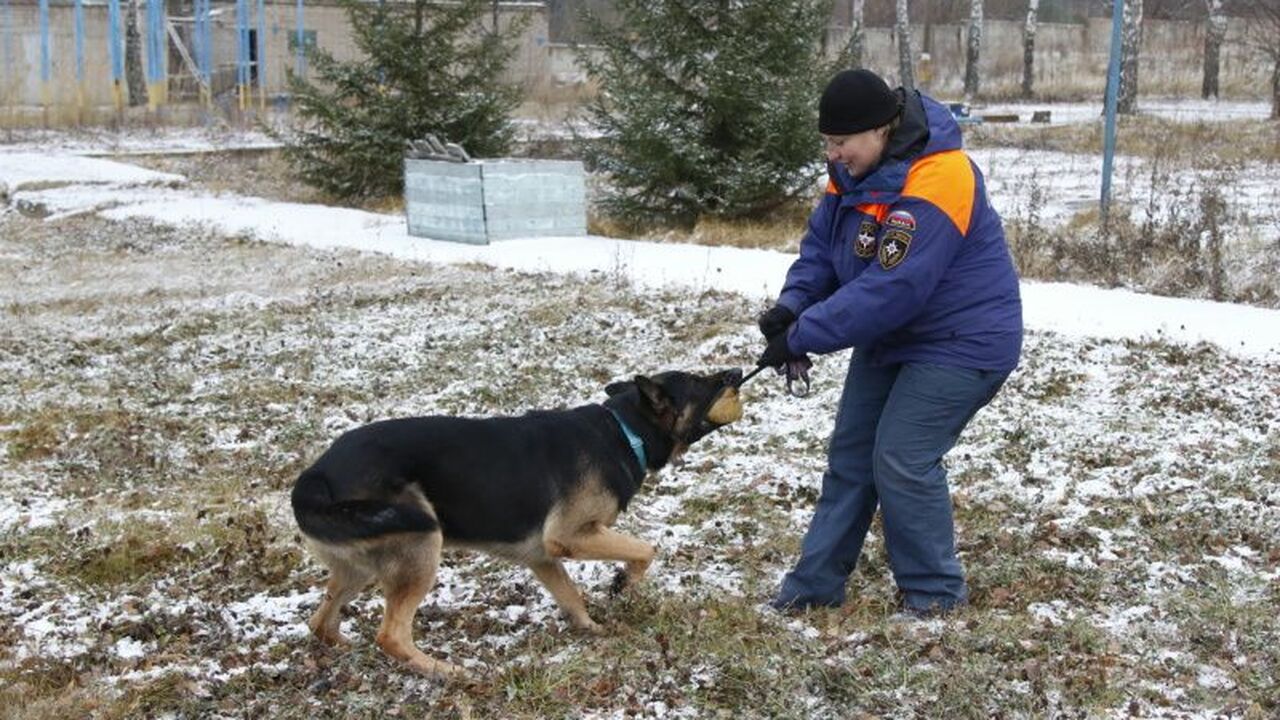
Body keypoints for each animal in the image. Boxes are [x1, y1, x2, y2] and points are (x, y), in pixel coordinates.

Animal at [291, 366, 747, 676]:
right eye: (699, 382)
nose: (738, 372)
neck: (624, 430)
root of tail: (316, 476)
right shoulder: (571, 536)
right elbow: (645, 548)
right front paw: (624, 584)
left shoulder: (542, 556)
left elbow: (571, 596)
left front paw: (592, 629)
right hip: (419, 546)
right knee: (391, 635)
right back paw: (447, 672)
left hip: (358, 566)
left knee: (320, 622)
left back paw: (345, 649)